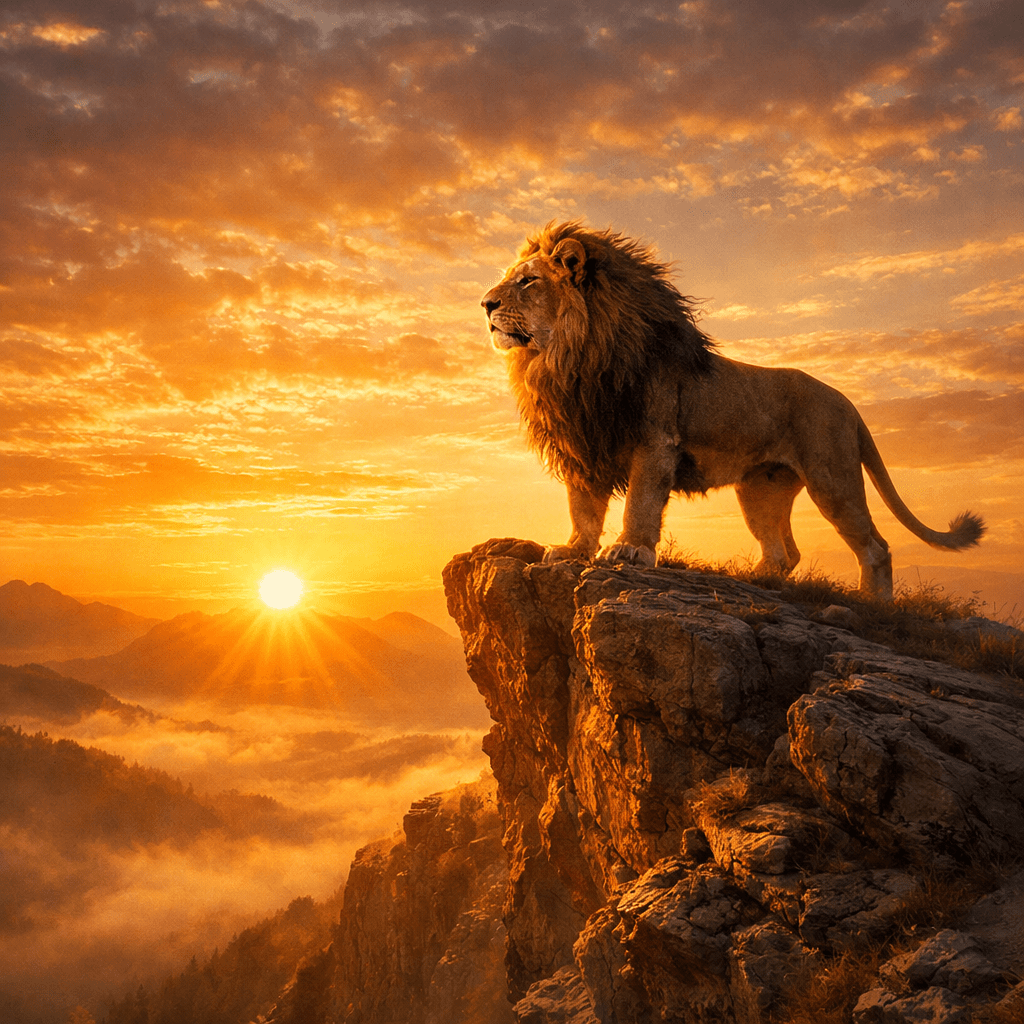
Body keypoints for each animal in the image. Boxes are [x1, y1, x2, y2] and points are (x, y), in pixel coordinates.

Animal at [480, 221, 984, 599]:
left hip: (832, 478)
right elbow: (582, 507)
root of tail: (849, 403)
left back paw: (872, 605)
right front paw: (572, 551)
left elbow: (639, 504)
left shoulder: (654, 440)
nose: (485, 303)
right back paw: (754, 580)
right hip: (760, 491)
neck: (569, 359)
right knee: (784, 554)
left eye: (528, 281)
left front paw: (629, 552)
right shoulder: (583, 443)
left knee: (876, 548)